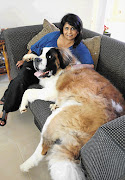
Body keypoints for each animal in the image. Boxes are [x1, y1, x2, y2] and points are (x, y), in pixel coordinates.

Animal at [19, 47, 125, 180]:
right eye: (41, 53)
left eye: (50, 57)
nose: (38, 60)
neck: (62, 70)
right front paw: (29, 57)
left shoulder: (51, 91)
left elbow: (28, 91)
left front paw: (22, 105)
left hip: (57, 117)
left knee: (44, 148)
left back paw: (26, 164)